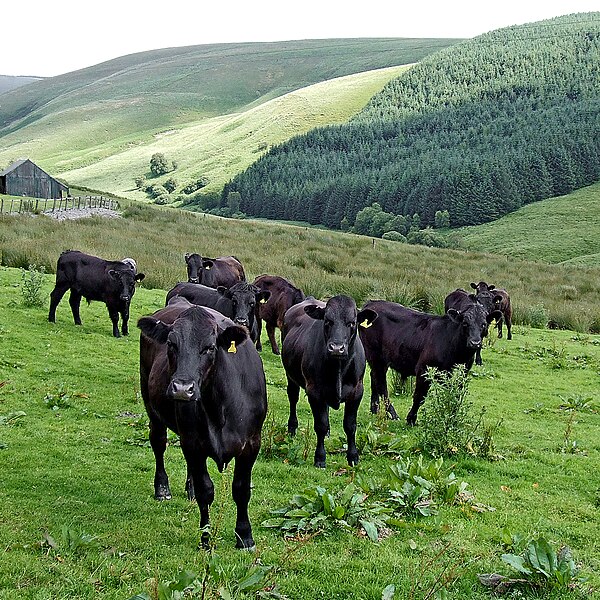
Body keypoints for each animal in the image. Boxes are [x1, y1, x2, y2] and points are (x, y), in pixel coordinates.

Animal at [138, 296, 268, 548]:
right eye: (171, 344)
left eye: (209, 347)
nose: (182, 389)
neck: (220, 407)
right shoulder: (193, 443)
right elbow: (205, 491)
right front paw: (206, 538)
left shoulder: (251, 443)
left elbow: (241, 489)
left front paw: (245, 536)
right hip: (151, 406)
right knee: (158, 443)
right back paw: (162, 488)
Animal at [280, 296, 376, 468]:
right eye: (327, 321)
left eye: (352, 322)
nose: (336, 348)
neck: (339, 367)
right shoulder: (314, 392)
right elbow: (321, 425)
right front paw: (320, 457)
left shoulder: (357, 391)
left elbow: (350, 425)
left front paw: (353, 456)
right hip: (290, 376)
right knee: (293, 398)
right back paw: (292, 427)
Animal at [358, 300, 500, 426]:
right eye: (465, 323)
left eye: (484, 324)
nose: (475, 343)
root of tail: (372, 303)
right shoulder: (424, 369)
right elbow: (419, 396)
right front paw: (411, 419)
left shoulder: (462, 374)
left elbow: (455, 395)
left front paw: (452, 417)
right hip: (375, 356)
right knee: (382, 384)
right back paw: (392, 414)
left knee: (374, 378)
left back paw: (375, 408)